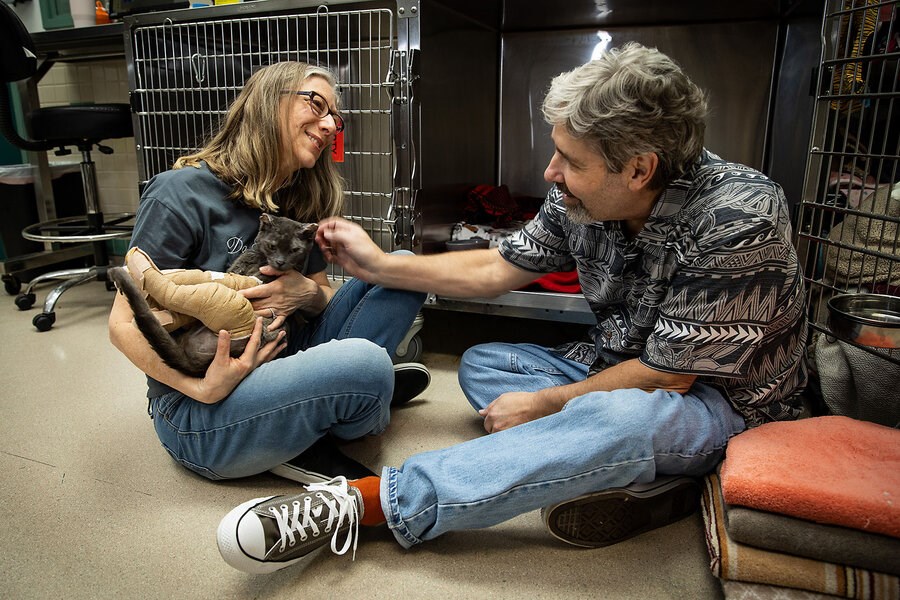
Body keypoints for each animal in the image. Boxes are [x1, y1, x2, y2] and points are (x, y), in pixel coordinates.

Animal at [110, 214, 320, 376]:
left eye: (294, 250)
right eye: (272, 246)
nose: (280, 262)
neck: (260, 261)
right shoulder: (238, 266)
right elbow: (234, 273)